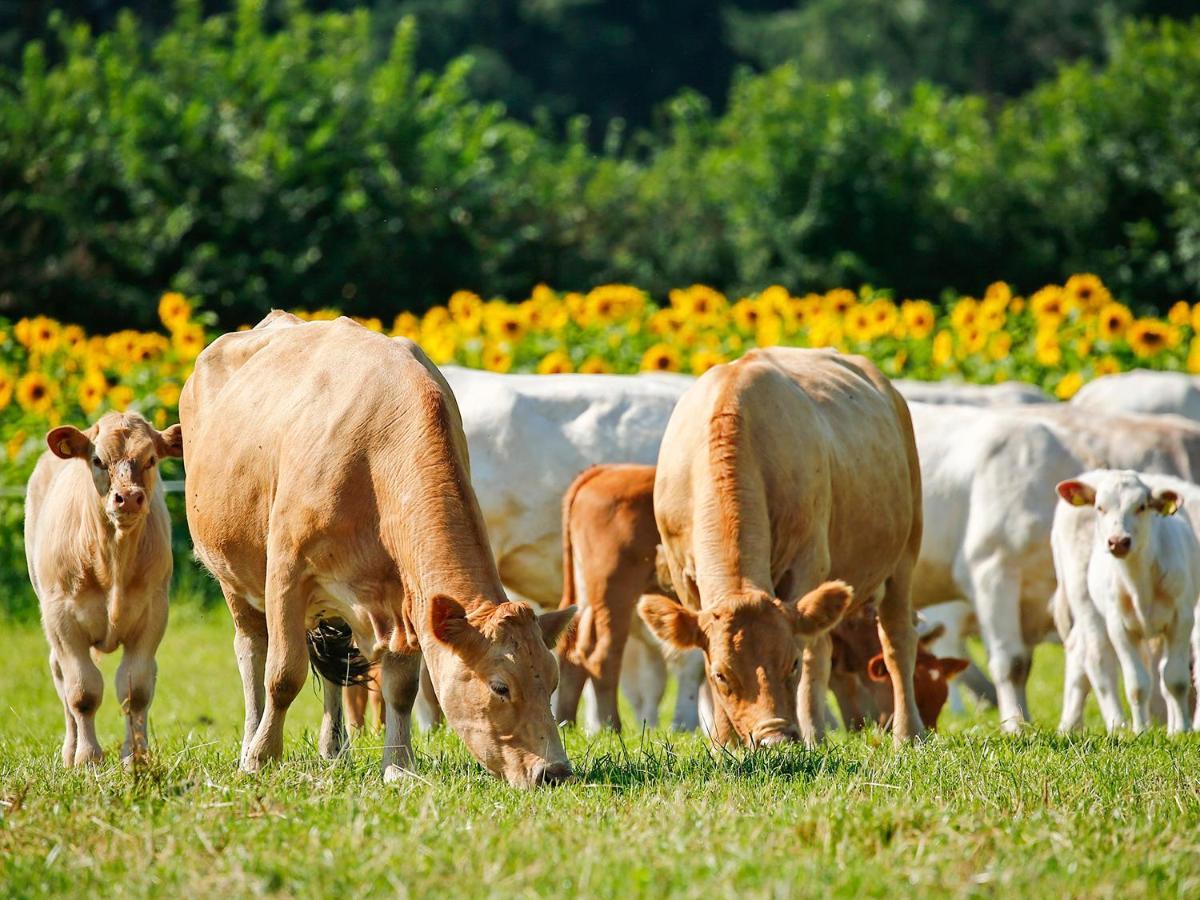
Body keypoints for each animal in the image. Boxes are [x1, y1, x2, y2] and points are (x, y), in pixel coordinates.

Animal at [25, 412, 183, 763]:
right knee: (60, 675)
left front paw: (135, 757)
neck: (112, 561)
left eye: (151, 459)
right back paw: (70, 752)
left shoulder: (153, 616)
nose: (129, 497)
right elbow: (82, 692)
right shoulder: (62, 620)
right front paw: (87, 758)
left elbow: (135, 690)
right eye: (98, 460)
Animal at [180, 314, 578, 787]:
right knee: (252, 654)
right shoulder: (287, 571)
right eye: (500, 686)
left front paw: (399, 766)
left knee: (332, 662)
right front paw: (261, 758)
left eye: (552, 682)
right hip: (233, 576)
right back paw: (250, 740)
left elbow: (400, 688)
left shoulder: (405, 596)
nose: (554, 771)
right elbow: (284, 673)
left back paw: (334, 749)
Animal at [638, 345, 926, 748]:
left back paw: (903, 733)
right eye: (722, 674)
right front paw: (724, 744)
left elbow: (810, 655)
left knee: (895, 639)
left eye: (789, 664)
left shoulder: (808, 561)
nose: (773, 737)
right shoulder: (684, 575)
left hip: (905, 553)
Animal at [1051, 472, 1200, 734]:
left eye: (1141, 506)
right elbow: (1136, 684)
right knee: (1098, 662)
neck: (1139, 582)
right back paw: (1117, 726)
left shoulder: (1181, 619)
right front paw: (1140, 732)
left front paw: (1181, 730)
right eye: (1100, 507)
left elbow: (1175, 678)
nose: (1118, 541)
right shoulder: (1119, 626)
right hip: (1086, 605)